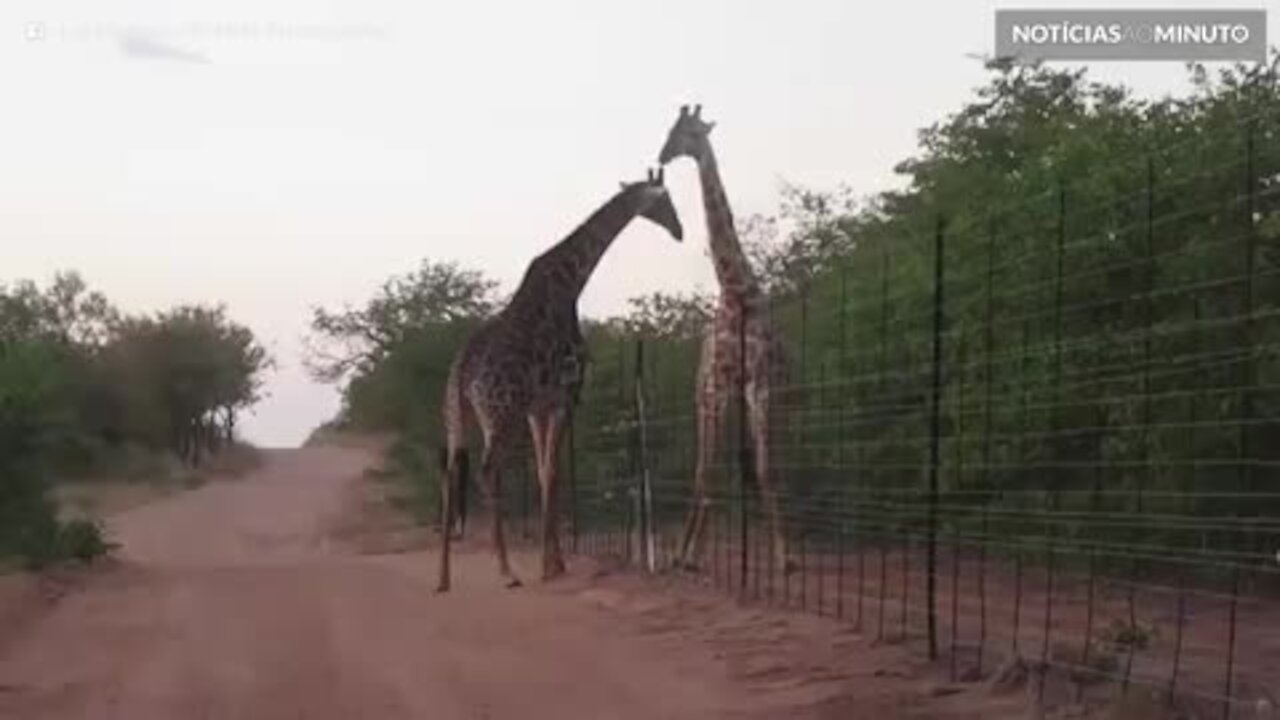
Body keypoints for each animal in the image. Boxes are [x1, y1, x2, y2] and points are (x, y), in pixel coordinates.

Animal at [437, 166, 686, 589]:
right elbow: (553, 473)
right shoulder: (566, 396)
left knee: (452, 472)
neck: (571, 281)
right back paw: (506, 571)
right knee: (486, 472)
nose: (680, 230)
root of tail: (462, 372)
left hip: (460, 415)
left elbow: (543, 473)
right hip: (499, 414)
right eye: (666, 199)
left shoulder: (538, 407)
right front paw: (551, 566)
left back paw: (443, 578)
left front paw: (551, 561)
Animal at [660, 102, 788, 571]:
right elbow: (709, 472)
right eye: (672, 129)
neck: (737, 289)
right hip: (704, 396)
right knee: (702, 469)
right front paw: (689, 553)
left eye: (688, 132)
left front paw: (785, 557)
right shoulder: (719, 388)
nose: (661, 155)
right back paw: (685, 552)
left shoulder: (760, 385)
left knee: (724, 466)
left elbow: (767, 470)